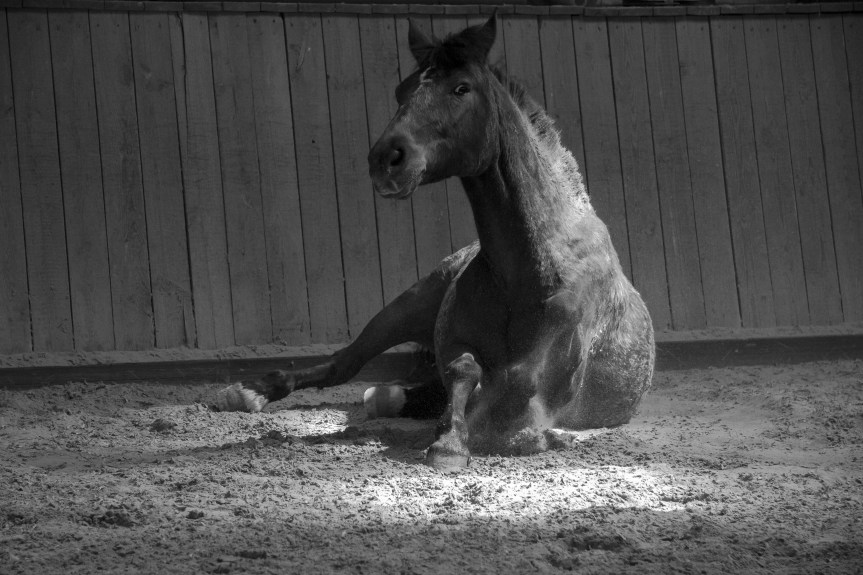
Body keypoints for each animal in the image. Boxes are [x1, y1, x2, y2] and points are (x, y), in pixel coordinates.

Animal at [217, 16, 655, 471]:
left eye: (461, 88)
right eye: (402, 90)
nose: (386, 159)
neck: (528, 267)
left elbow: (513, 387)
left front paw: (513, 434)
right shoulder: (457, 344)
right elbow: (465, 370)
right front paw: (451, 439)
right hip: (407, 305)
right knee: (346, 363)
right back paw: (248, 392)